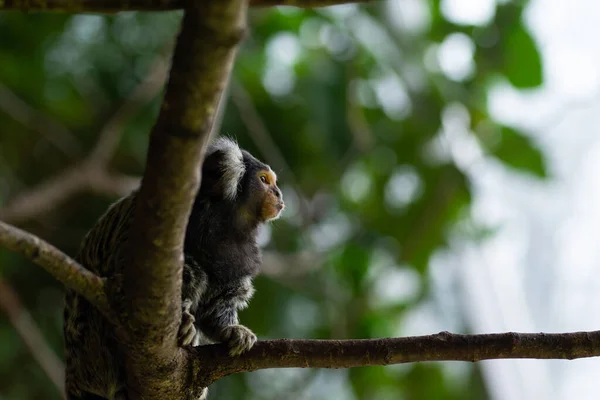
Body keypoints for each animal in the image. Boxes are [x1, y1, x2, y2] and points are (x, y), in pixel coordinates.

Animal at [63, 138, 284, 400]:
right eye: (264, 180)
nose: (279, 194)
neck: (222, 222)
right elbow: (124, 272)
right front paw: (184, 320)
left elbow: (217, 305)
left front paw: (231, 331)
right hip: (93, 345)